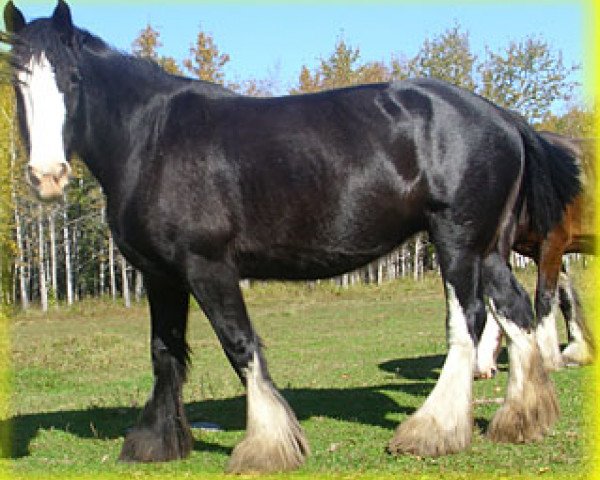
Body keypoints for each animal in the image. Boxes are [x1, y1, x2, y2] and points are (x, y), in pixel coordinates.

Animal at [2, 0, 580, 472]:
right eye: (18, 81)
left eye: (73, 78)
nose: (47, 176)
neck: (152, 139)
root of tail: (502, 116)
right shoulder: (160, 275)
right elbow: (164, 352)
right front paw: (157, 443)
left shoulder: (208, 266)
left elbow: (239, 345)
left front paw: (267, 445)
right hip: (491, 248)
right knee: (516, 313)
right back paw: (520, 420)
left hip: (456, 239)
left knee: (470, 321)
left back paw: (431, 431)